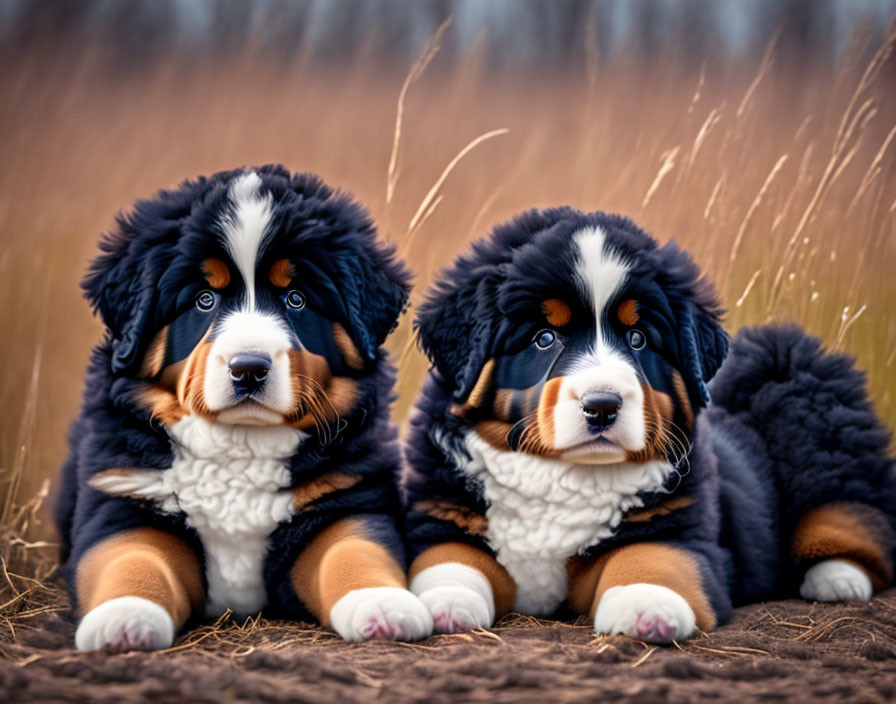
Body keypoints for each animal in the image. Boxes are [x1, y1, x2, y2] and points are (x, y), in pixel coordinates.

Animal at [55, 164, 434, 648]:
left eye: (296, 298)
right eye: (204, 299)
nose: (249, 368)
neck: (242, 444)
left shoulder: (346, 500)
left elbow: (356, 550)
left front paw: (383, 603)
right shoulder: (124, 498)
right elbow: (131, 558)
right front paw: (123, 618)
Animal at [400, 206, 896, 640]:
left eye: (638, 339)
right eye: (544, 338)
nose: (602, 405)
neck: (565, 477)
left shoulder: (679, 529)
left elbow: (651, 559)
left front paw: (647, 607)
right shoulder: (446, 517)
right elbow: (450, 560)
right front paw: (444, 603)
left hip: (815, 422)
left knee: (848, 514)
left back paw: (836, 578)